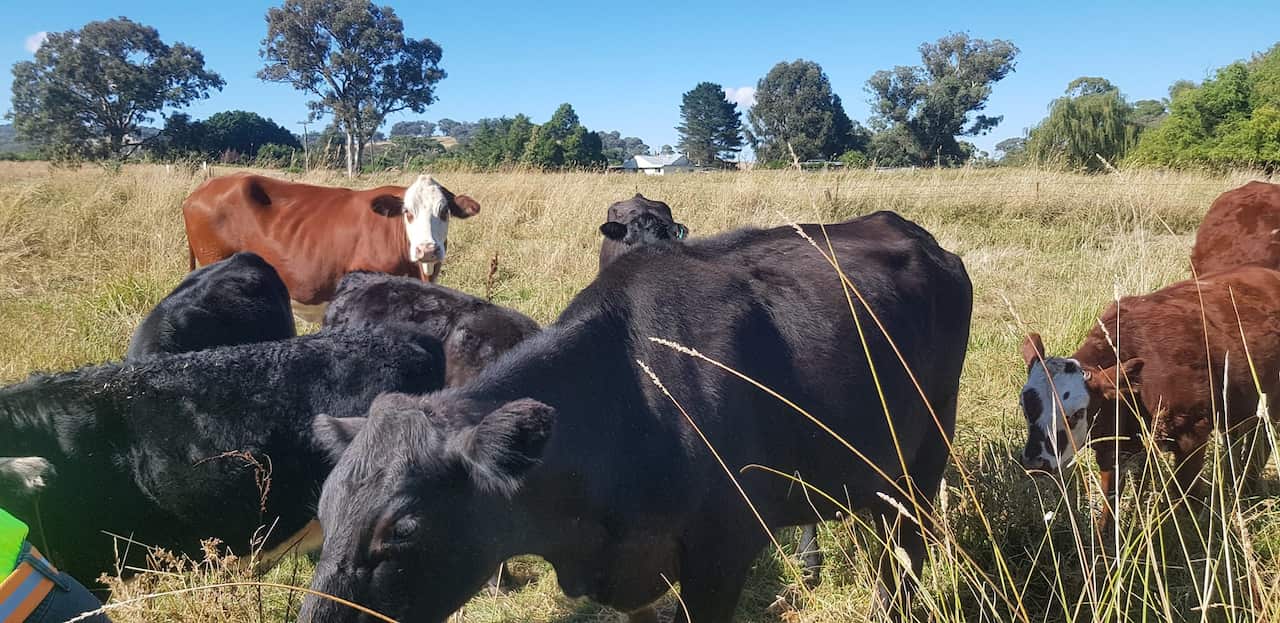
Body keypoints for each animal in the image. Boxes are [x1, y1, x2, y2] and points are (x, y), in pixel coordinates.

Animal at [1018, 265, 1280, 529]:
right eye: (1026, 408)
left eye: (1076, 414)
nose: (1035, 463)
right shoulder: (1113, 446)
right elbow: (1110, 500)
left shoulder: (1193, 431)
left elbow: (1186, 491)